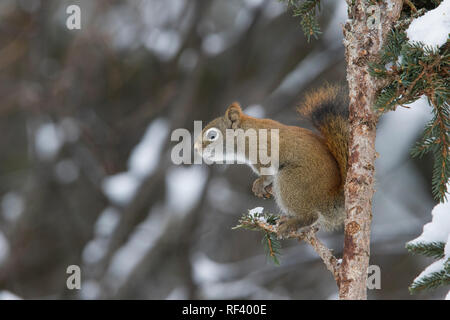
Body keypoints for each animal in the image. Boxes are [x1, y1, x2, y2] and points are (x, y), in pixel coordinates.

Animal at [192, 85, 348, 235]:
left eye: (212, 136)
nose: (196, 148)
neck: (244, 135)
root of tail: (329, 198)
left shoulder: (264, 149)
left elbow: (267, 172)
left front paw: (260, 183)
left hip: (293, 181)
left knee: (311, 215)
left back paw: (290, 225)